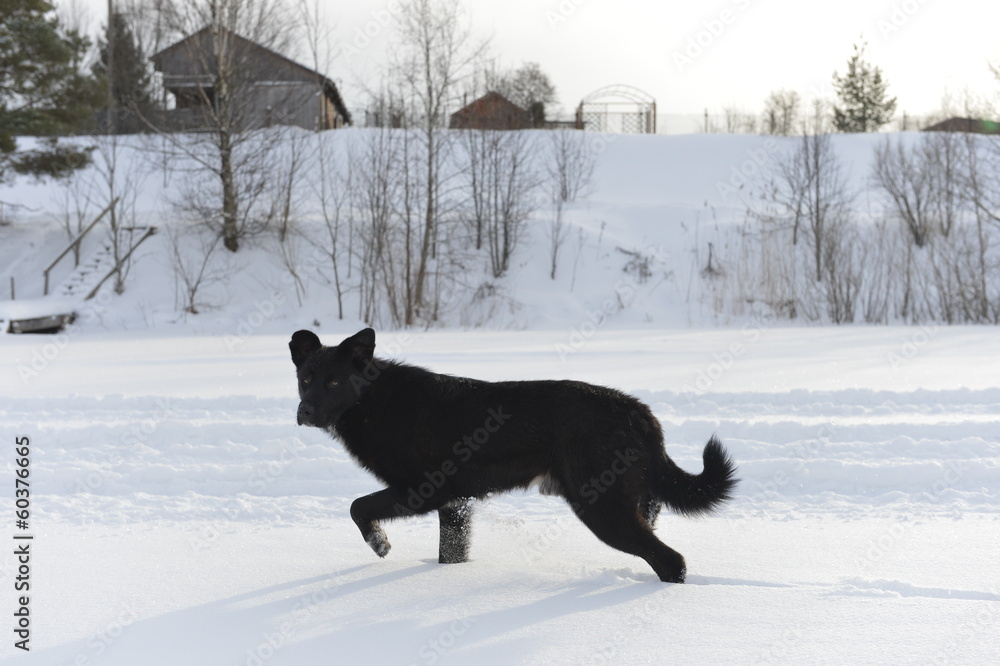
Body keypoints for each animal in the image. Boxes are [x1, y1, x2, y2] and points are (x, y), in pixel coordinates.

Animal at [290, 326, 736, 580]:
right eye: (306, 378)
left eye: (334, 382)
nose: (304, 411)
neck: (373, 402)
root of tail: (638, 412)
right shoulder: (455, 505)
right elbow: (450, 554)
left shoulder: (421, 491)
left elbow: (357, 506)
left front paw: (378, 542)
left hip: (602, 510)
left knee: (672, 561)